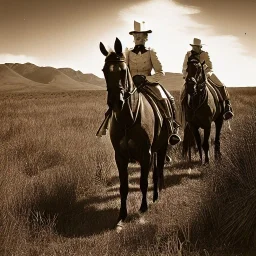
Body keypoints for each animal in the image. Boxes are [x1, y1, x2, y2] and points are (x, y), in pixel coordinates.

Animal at [99, 37, 171, 226]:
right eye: (104, 71)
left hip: (161, 148)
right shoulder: (120, 156)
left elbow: (144, 182)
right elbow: (123, 187)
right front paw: (122, 214)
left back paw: (156, 196)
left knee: (159, 171)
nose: (115, 102)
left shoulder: (146, 154)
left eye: (124, 71)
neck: (128, 119)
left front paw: (143, 207)